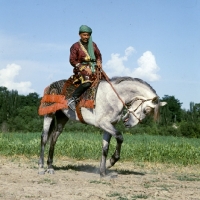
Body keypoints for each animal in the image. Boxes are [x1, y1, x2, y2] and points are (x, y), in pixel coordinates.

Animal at [38, 76, 166, 177]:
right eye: (146, 110)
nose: (128, 123)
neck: (113, 97)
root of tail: (51, 85)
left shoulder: (108, 126)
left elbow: (105, 148)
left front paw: (103, 171)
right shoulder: (104, 124)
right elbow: (120, 137)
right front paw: (111, 162)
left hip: (62, 118)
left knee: (54, 138)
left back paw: (50, 167)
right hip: (49, 114)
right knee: (44, 138)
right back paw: (41, 167)